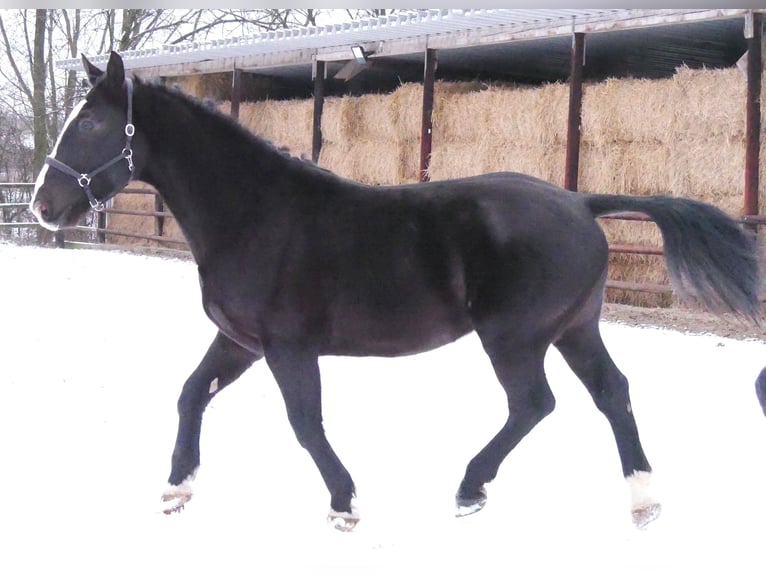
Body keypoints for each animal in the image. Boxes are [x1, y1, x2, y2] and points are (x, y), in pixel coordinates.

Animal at [30, 51, 761, 531]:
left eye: (91, 124)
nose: (42, 205)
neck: (255, 213)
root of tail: (581, 202)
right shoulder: (240, 342)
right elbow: (191, 393)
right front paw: (177, 488)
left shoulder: (287, 347)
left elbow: (305, 422)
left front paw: (345, 503)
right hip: (575, 329)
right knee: (612, 393)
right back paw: (642, 500)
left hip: (516, 338)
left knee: (534, 404)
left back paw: (470, 487)